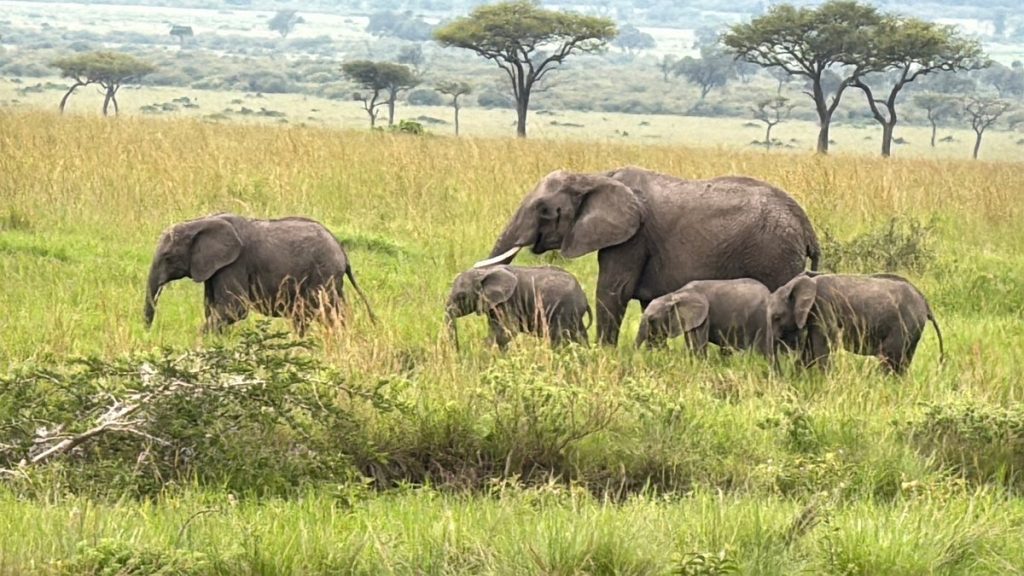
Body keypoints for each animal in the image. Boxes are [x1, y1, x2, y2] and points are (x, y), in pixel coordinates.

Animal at [144, 213, 376, 333]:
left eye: (168, 257)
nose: (147, 333)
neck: (199, 222)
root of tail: (342, 253)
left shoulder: (234, 264)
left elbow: (235, 308)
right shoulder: (214, 269)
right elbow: (212, 307)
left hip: (323, 274)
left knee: (325, 312)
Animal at [445, 265, 591, 350]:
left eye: (461, 296)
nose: (458, 351)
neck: (484, 271)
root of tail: (584, 296)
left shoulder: (508, 302)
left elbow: (505, 333)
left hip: (564, 310)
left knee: (560, 339)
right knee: (580, 336)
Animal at [476, 166, 820, 346]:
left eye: (544, 210)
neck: (596, 177)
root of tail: (806, 226)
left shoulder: (633, 237)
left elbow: (612, 292)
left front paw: (603, 355)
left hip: (775, 256)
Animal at [766, 272, 945, 374]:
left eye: (777, 317)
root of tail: (924, 302)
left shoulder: (823, 307)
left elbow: (822, 349)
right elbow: (809, 351)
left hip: (905, 324)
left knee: (889, 357)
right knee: (903, 362)